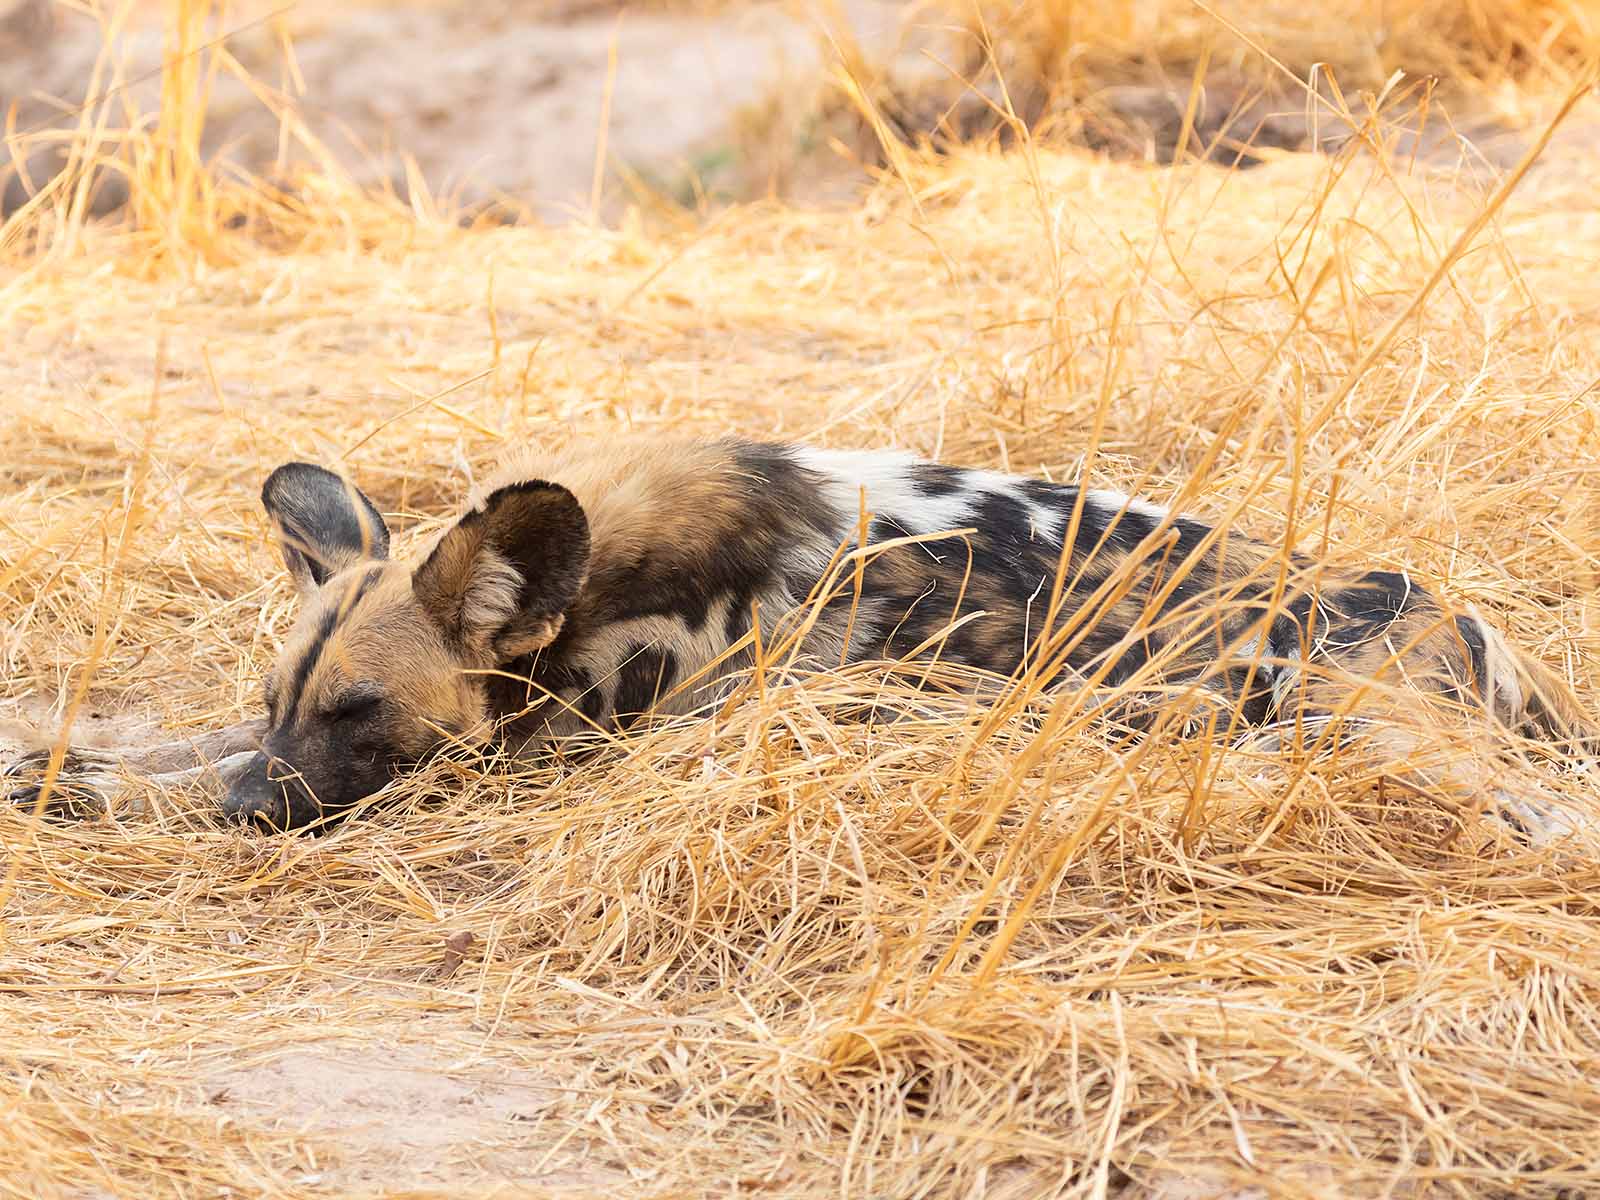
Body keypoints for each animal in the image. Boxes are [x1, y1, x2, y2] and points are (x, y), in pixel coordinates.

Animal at [7, 437, 1596, 835]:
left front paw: (115, 793)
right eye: (296, 699)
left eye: (363, 716)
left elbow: (175, 789)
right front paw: (65, 763)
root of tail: (1471, 623)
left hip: (1329, 717)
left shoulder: (519, 768)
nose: (262, 804)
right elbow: (183, 744)